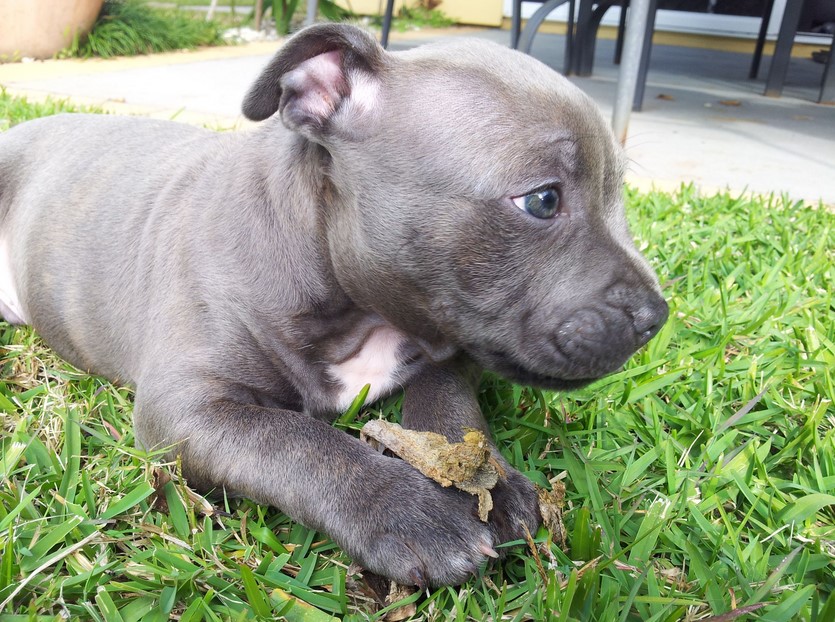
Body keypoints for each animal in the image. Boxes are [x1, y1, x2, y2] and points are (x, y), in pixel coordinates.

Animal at [0, 24, 668, 588]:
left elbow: (450, 409)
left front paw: (489, 483)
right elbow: (298, 442)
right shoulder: (187, 409)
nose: (655, 318)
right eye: (542, 200)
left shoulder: (447, 345)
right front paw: (408, 513)